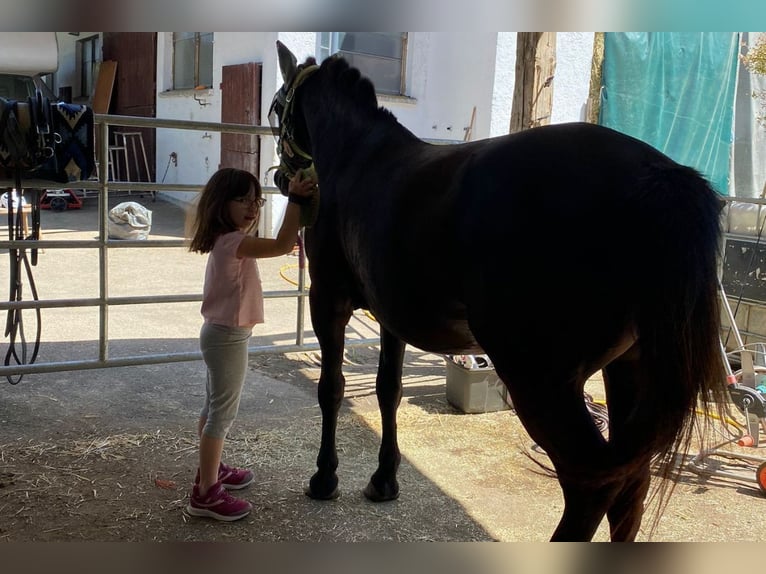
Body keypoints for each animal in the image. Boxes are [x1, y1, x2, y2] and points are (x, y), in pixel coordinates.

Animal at [272, 42, 728, 544]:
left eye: (276, 106)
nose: (281, 180)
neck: (359, 154)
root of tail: (660, 174)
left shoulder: (327, 302)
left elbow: (331, 388)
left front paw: (324, 478)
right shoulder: (390, 316)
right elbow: (387, 389)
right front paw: (384, 480)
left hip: (541, 380)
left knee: (592, 483)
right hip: (630, 367)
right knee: (632, 486)